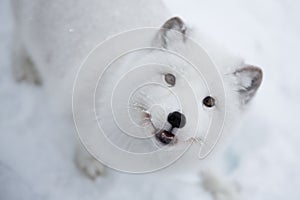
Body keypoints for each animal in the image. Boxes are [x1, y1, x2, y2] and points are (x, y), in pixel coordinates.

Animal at [11, 0, 262, 198]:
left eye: (209, 102)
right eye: (170, 78)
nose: (177, 118)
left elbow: (208, 167)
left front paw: (221, 185)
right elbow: (85, 137)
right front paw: (89, 161)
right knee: (19, 38)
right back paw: (24, 66)